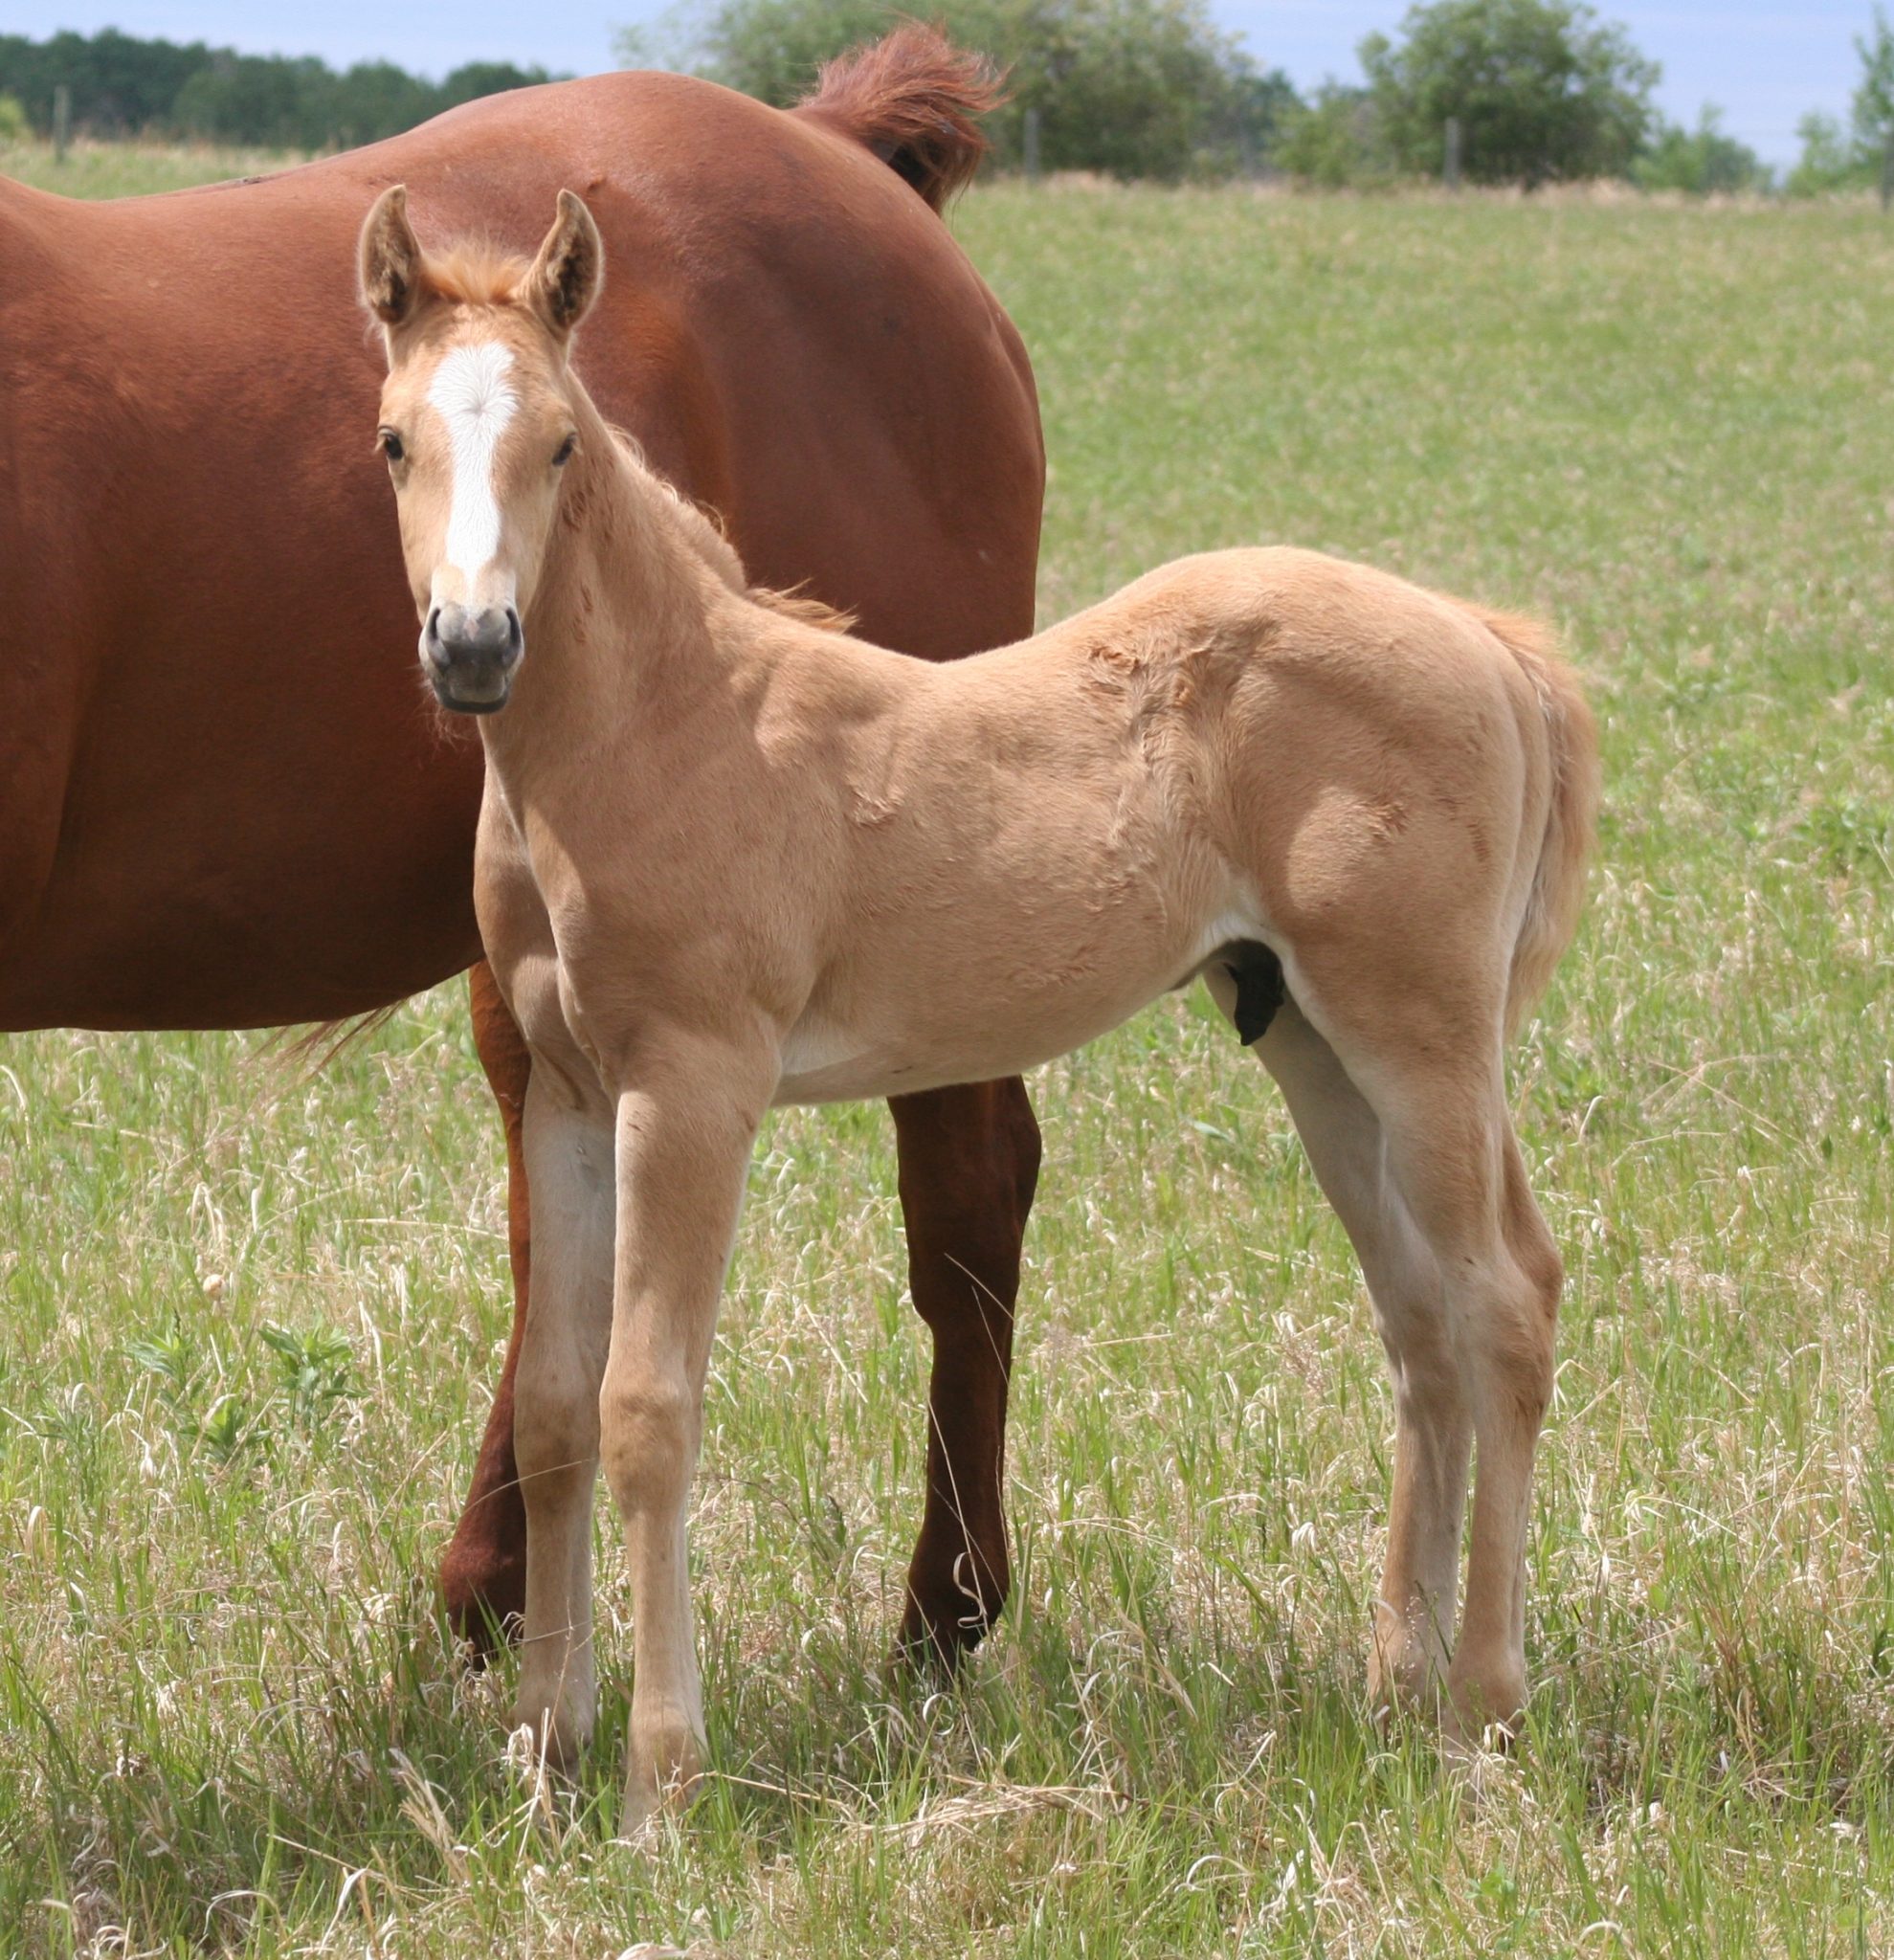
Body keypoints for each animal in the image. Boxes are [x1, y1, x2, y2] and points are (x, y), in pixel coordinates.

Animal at [358, 190, 1599, 1826]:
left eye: (559, 442)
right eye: (392, 440)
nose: (472, 648)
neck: (658, 727)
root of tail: (1485, 640)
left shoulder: (690, 1087)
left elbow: (646, 1409)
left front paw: (660, 1782)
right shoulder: (564, 1092)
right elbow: (558, 1409)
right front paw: (543, 1753)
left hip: (1424, 1038)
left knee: (1502, 1296)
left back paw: (1484, 1711)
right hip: (1312, 1044)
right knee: (1419, 1318)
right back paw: (1396, 1693)